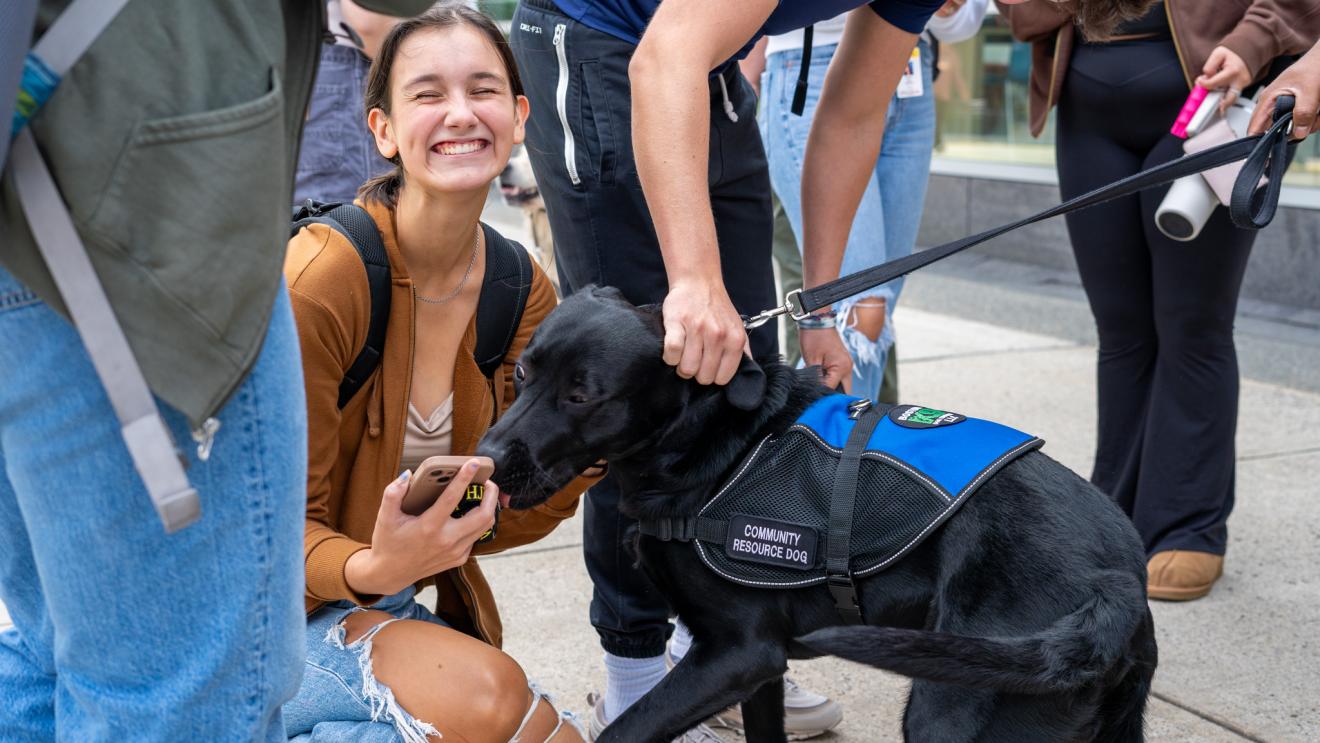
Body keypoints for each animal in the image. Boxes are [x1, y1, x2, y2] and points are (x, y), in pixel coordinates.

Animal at [483, 289, 1156, 743]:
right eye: (521, 372)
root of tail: (1118, 582)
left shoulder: (738, 655)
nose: (485, 459)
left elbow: (624, 732)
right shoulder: (754, 670)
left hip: (951, 710)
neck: (710, 438)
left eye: (581, 395)